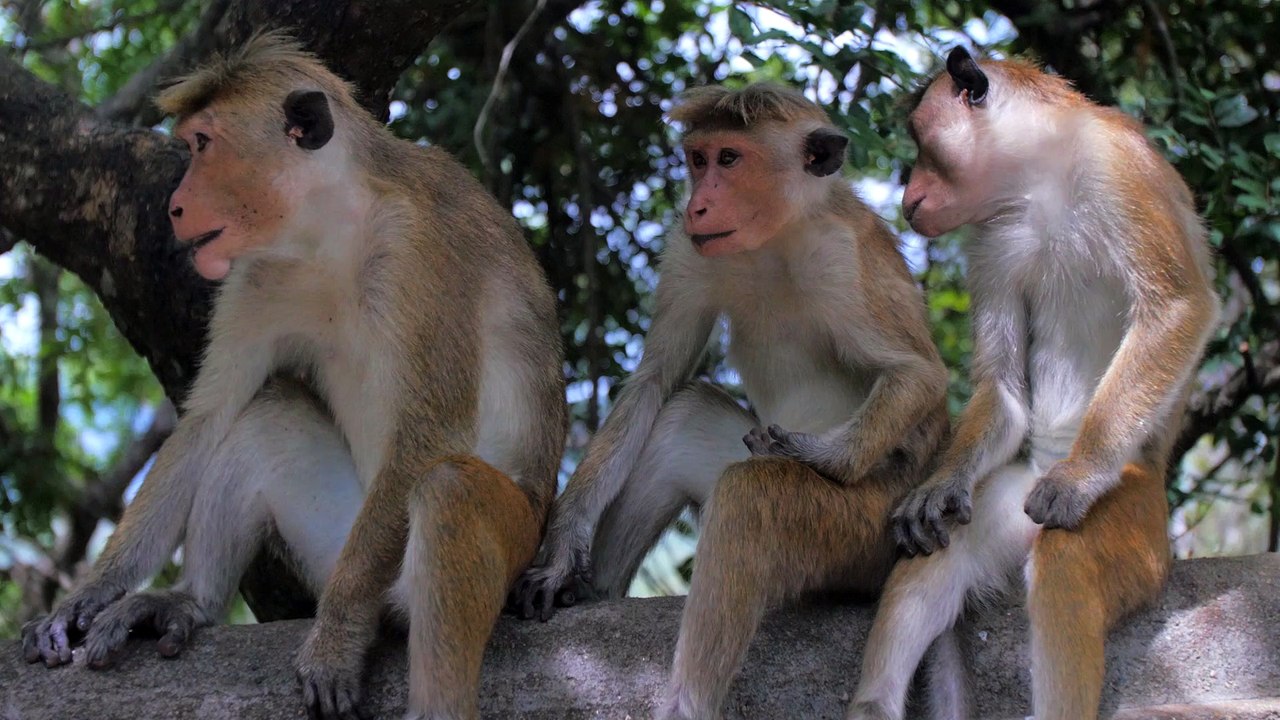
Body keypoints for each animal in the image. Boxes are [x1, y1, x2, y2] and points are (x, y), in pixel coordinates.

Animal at [20, 33, 566, 720]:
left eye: (202, 144)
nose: (174, 206)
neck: (332, 231)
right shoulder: (253, 277)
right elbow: (210, 417)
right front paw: (87, 595)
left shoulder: (425, 252)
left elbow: (429, 435)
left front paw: (336, 640)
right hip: (338, 546)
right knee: (266, 410)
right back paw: (189, 601)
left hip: (492, 544)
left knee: (449, 492)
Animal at [511, 82, 951, 720]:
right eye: (698, 159)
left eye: (729, 159)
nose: (697, 204)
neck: (774, 239)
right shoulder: (688, 250)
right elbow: (655, 382)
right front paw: (563, 549)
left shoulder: (842, 258)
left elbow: (918, 375)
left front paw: (818, 455)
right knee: (681, 422)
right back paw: (591, 592)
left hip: (868, 530)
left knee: (750, 495)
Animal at [846, 47, 1219, 720]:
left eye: (922, 142)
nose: (910, 195)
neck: (1040, 177)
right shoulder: (991, 240)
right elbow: (1003, 389)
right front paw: (938, 484)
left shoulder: (1119, 166)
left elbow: (1178, 307)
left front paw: (1079, 477)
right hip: (1006, 501)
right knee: (949, 552)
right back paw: (875, 702)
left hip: (1138, 520)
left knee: (1066, 558)